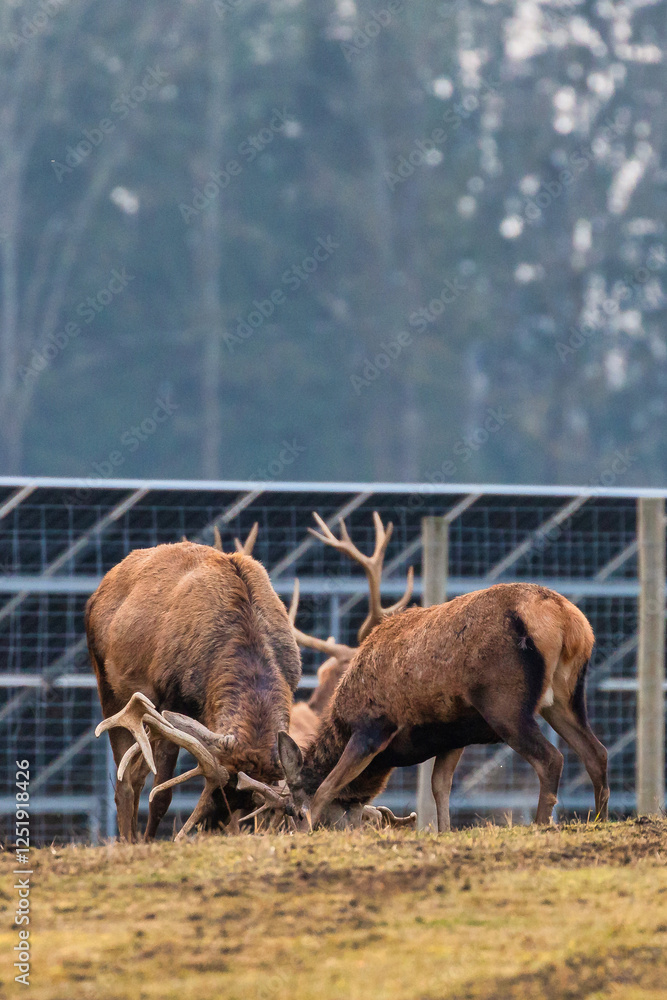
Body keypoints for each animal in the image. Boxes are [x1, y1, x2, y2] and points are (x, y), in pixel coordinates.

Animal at [87, 523, 301, 841]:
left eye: (246, 802)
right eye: (218, 792)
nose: (212, 827)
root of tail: (97, 591)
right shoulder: (171, 700)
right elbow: (161, 795)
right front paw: (149, 842)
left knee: (135, 772)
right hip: (108, 683)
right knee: (125, 778)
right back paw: (128, 840)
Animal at [247, 520, 609, 830]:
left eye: (293, 811)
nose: (295, 826)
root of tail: (565, 618)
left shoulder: (373, 726)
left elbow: (328, 787)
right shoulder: (455, 735)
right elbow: (439, 788)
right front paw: (443, 831)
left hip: (505, 702)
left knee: (552, 759)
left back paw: (540, 824)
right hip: (564, 697)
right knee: (596, 753)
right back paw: (599, 821)